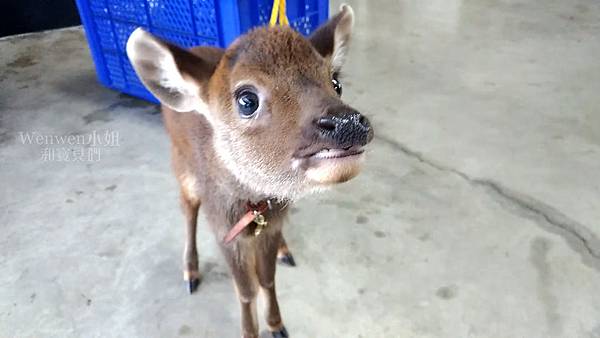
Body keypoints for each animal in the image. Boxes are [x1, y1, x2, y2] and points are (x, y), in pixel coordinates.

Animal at [125, 3, 370, 336]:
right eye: (247, 100)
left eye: (336, 82)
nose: (348, 123)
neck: (252, 207)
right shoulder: (224, 229)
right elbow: (246, 289)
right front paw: (251, 330)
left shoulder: (272, 222)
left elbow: (266, 278)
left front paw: (277, 324)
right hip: (181, 167)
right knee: (188, 210)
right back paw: (190, 272)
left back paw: (284, 250)